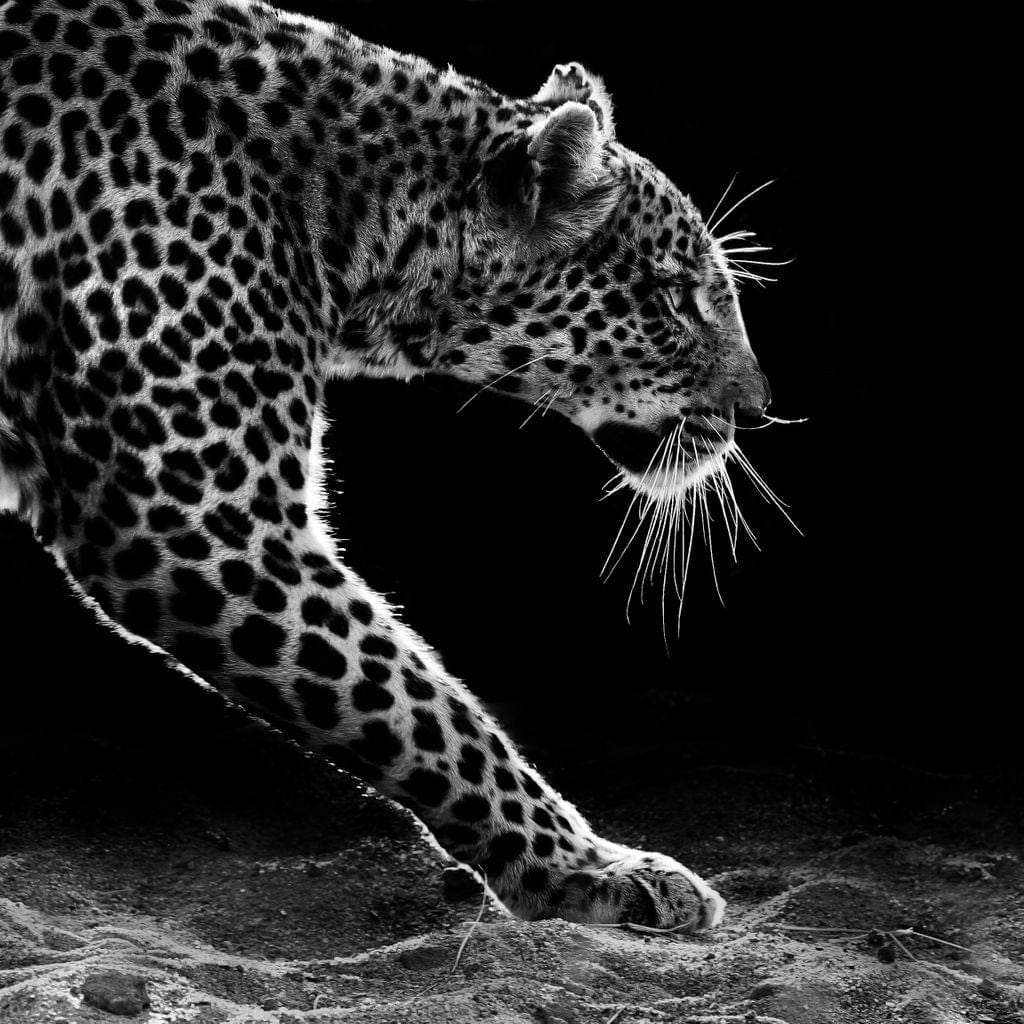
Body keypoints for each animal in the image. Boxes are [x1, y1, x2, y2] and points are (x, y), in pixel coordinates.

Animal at [0, 0, 776, 933]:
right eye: (674, 298)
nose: (758, 409)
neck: (349, 213)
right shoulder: (202, 521)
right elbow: (423, 711)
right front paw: (589, 871)